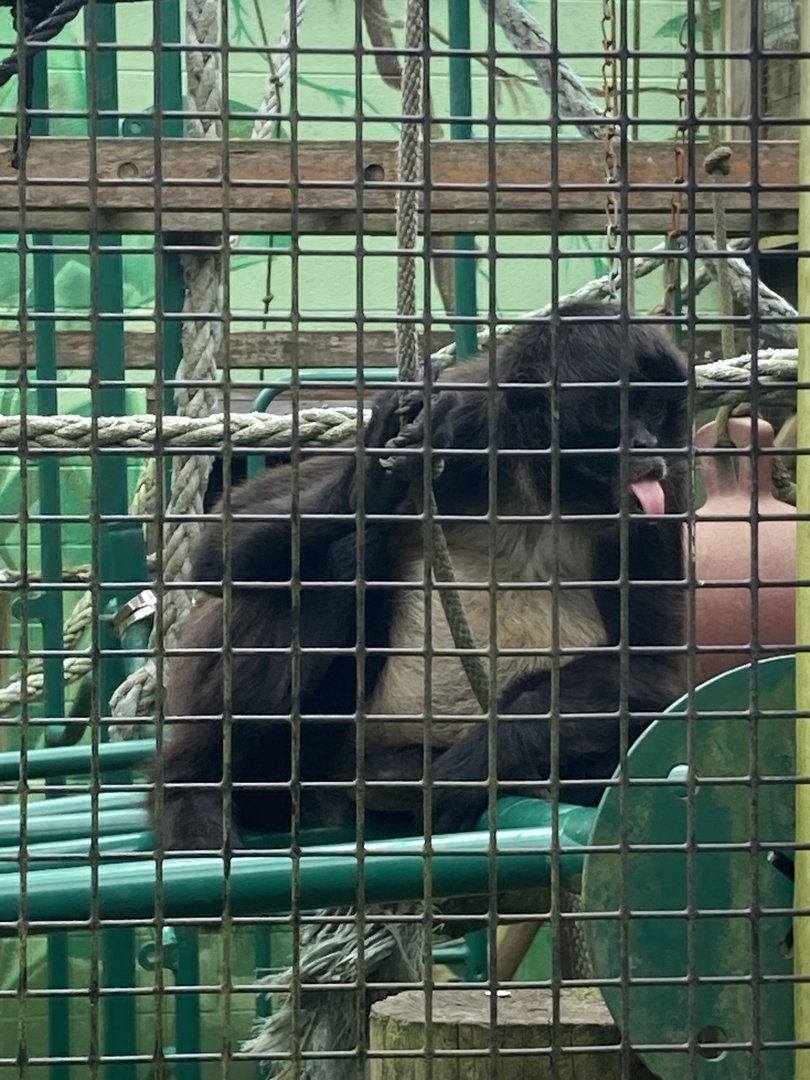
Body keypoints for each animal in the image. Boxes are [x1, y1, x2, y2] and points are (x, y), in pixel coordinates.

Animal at [153, 302, 688, 850]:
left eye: (655, 411)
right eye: (610, 411)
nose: (646, 443)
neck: (540, 488)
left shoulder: (665, 492)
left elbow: (650, 669)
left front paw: (477, 761)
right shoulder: (469, 417)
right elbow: (218, 546)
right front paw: (371, 480)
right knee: (338, 559)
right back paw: (194, 788)